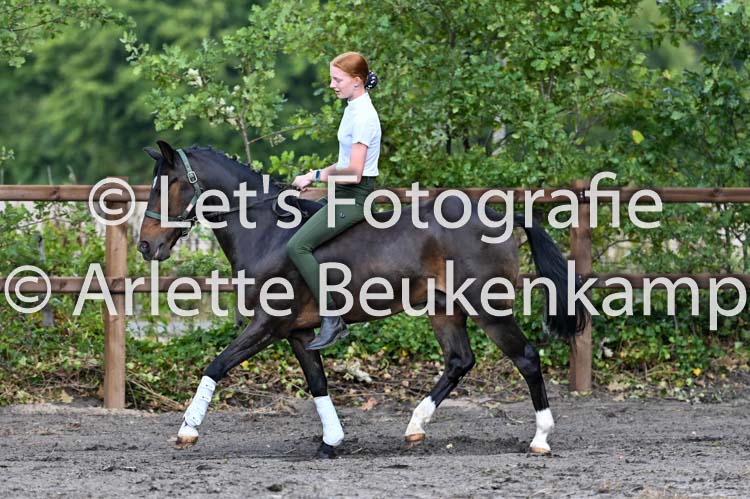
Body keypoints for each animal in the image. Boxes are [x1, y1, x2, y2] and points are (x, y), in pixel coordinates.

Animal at [137, 140, 588, 458]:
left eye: (169, 184)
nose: (145, 245)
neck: (266, 231)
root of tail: (502, 215)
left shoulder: (268, 324)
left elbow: (216, 365)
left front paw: (187, 431)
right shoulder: (299, 333)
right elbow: (318, 383)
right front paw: (331, 442)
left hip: (488, 309)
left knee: (526, 358)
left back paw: (540, 439)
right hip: (445, 310)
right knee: (460, 360)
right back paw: (415, 426)